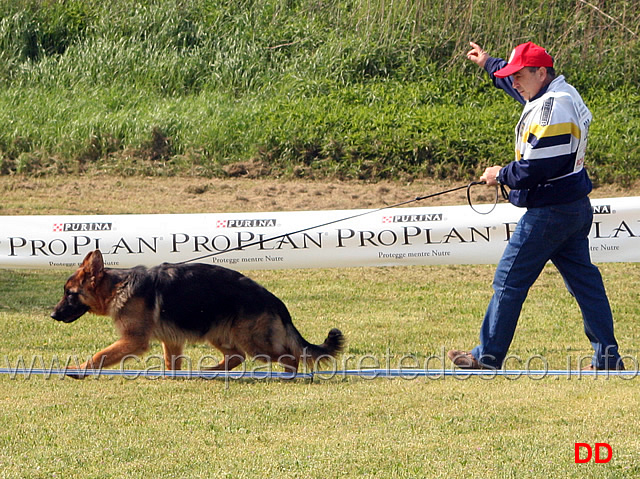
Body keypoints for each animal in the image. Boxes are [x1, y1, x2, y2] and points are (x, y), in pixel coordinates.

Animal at [52, 251, 342, 378]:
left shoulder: (134, 340)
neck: (118, 286)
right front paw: (173, 379)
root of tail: (275, 300)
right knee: (236, 357)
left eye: (70, 294)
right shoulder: (171, 340)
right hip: (217, 333)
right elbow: (172, 364)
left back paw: (287, 377)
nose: (53, 315)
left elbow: (100, 355)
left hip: (253, 341)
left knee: (290, 356)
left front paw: (79, 371)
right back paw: (211, 372)